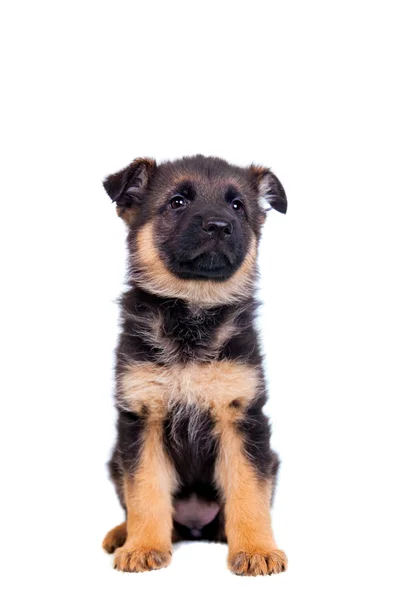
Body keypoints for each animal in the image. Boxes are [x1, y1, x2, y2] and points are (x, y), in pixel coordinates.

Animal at [100, 155, 288, 576]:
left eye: (237, 205)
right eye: (177, 202)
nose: (219, 225)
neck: (193, 310)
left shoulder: (241, 415)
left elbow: (248, 490)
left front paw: (256, 550)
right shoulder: (143, 417)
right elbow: (145, 491)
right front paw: (142, 547)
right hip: (115, 460)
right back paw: (123, 534)